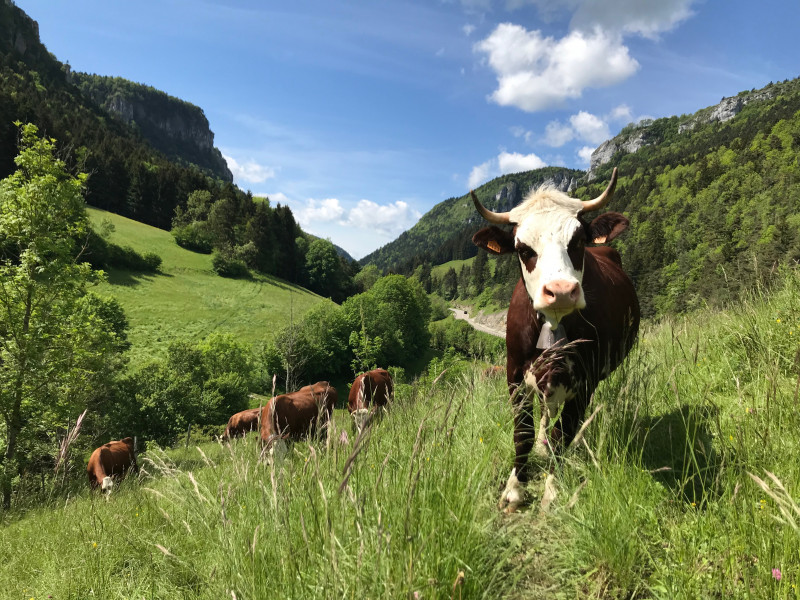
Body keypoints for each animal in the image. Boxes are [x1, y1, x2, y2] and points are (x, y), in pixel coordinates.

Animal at [471, 168, 639, 512]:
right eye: (523, 249)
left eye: (578, 241)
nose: (561, 290)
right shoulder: (514, 372)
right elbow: (521, 433)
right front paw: (515, 490)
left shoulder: (586, 379)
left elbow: (566, 431)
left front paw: (552, 490)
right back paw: (541, 445)